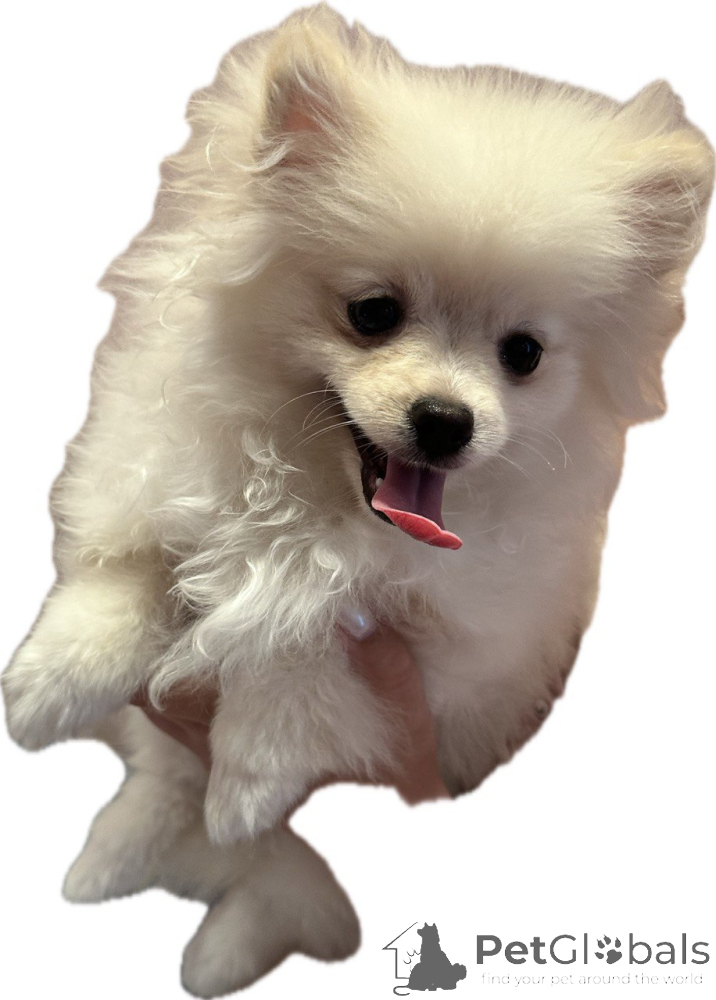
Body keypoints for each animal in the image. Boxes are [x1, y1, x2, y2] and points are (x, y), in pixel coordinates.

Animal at [2, 4, 712, 995]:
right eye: (373, 312)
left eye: (524, 354)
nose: (445, 420)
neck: (322, 505)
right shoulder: (159, 491)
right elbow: (124, 577)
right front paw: (47, 686)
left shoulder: (448, 656)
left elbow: (303, 658)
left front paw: (248, 783)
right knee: (161, 781)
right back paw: (118, 854)